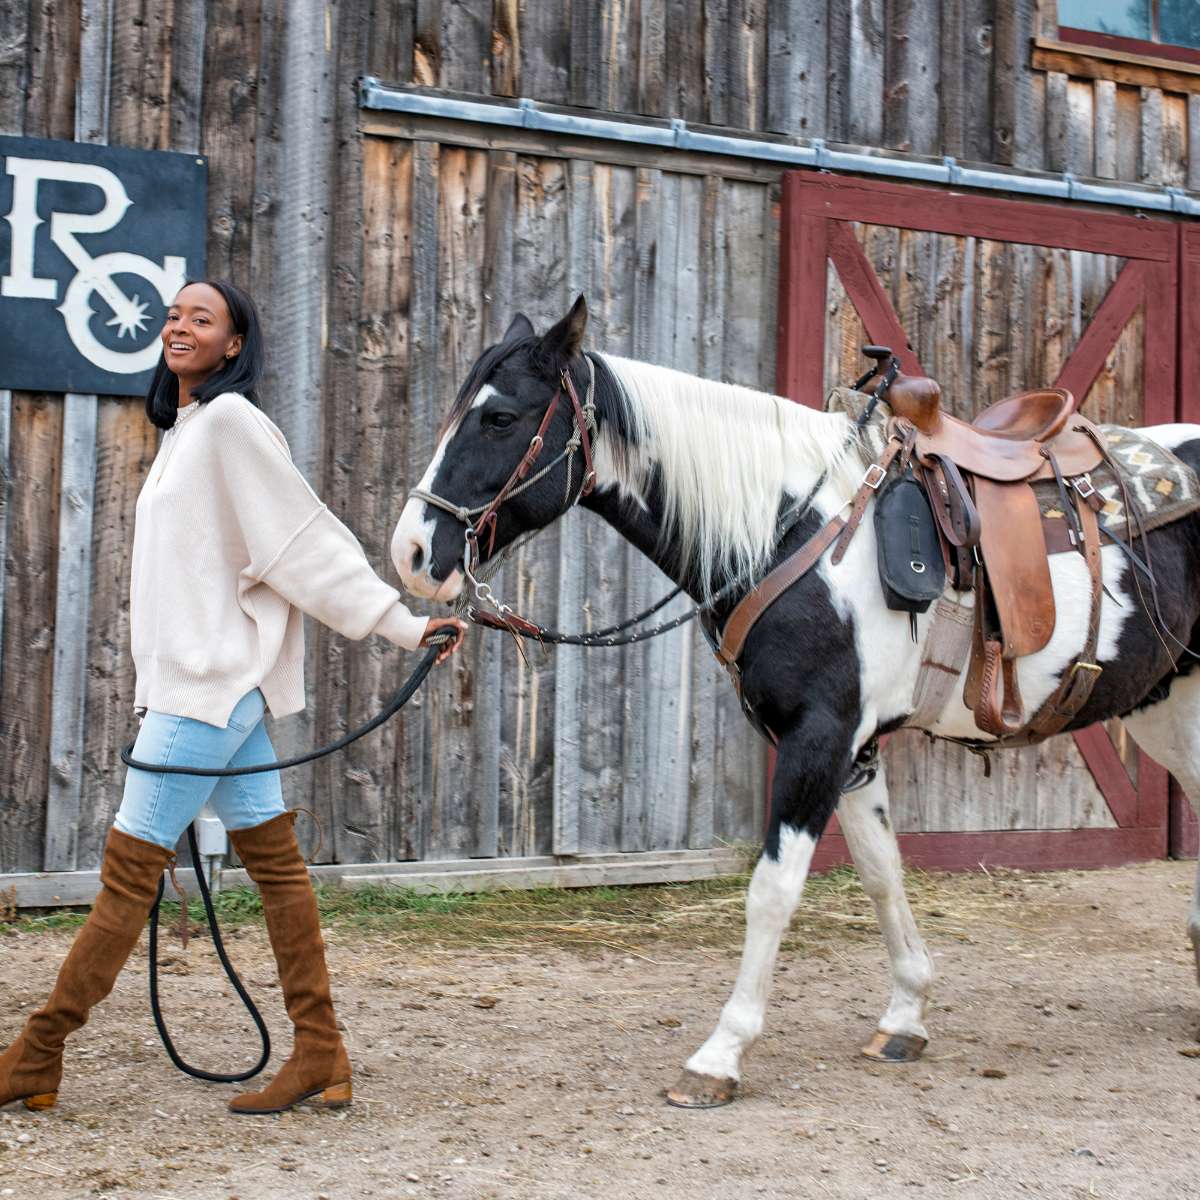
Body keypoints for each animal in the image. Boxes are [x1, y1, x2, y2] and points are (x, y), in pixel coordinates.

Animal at [391, 297, 1200, 1104]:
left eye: (500, 418)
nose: (411, 553)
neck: (798, 533)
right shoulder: (854, 750)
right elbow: (881, 872)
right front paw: (905, 1016)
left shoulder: (820, 738)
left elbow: (773, 891)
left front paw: (719, 1055)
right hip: (1165, 704)